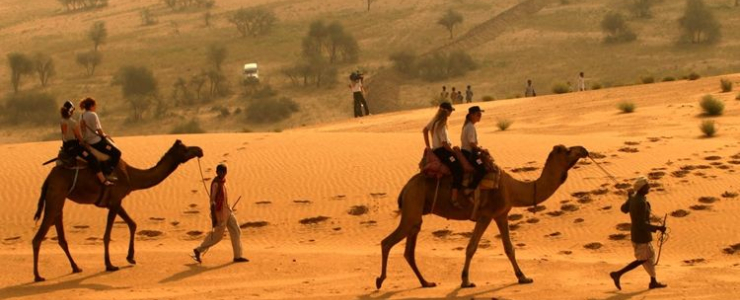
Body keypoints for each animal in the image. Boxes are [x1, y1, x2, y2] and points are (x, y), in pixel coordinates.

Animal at [33, 139, 202, 282]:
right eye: (185, 149)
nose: (199, 150)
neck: (131, 176)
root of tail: (49, 178)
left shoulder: (115, 201)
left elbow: (132, 224)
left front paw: (131, 258)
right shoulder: (115, 201)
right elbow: (107, 235)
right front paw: (110, 265)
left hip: (58, 199)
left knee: (60, 234)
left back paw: (76, 267)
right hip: (56, 194)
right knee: (39, 236)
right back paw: (38, 276)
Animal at [378, 144, 588, 290]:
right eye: (567, 150)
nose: (584, 149)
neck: (512, 188)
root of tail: (405, 188)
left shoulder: (501, 214)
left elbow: (509, 248)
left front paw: (523, 277)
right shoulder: (486, 215)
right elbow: (471, 247)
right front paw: (466, 281)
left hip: (416, 211)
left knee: (409, 249)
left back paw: (426, 282)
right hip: (413, 205)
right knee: (387, 242)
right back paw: (380, 281)